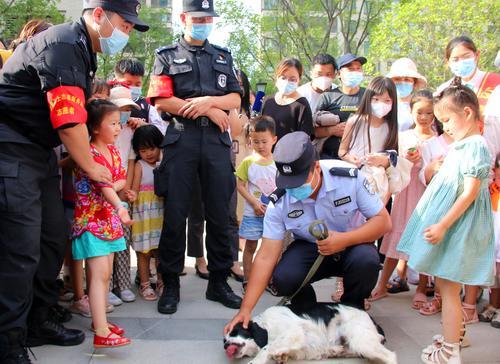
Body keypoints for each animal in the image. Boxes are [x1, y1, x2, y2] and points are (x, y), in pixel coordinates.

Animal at [225, 302, 396, 364]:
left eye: (235, 331)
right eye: (224, 341)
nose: (226, 346)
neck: (266, 324)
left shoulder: (295, 332)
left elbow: (268, 348)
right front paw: (281, 356)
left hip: (361, 340)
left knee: (391, 356)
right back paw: (335, 350)